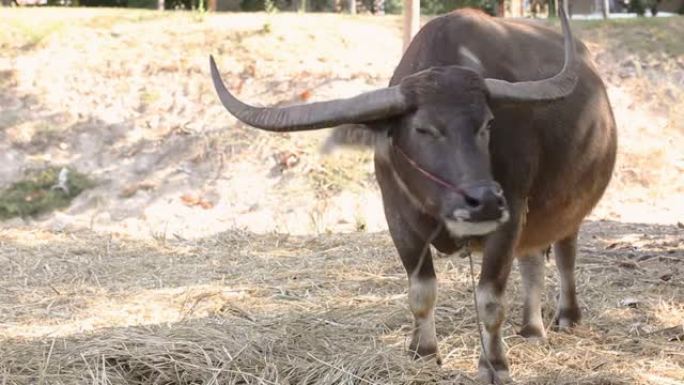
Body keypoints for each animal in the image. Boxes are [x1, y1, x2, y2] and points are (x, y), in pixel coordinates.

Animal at [207, 8, 616, 380]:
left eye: (487, 123)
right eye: (424, 129)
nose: (483, 201)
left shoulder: (511, 212)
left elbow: (489, 299)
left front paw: (494, 364)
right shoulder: (398, 219)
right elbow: (421, 292)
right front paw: (423, 351)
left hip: (567, 210)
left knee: (564, 254)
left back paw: (567, 315)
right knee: (532, 259)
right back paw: (531, 329)